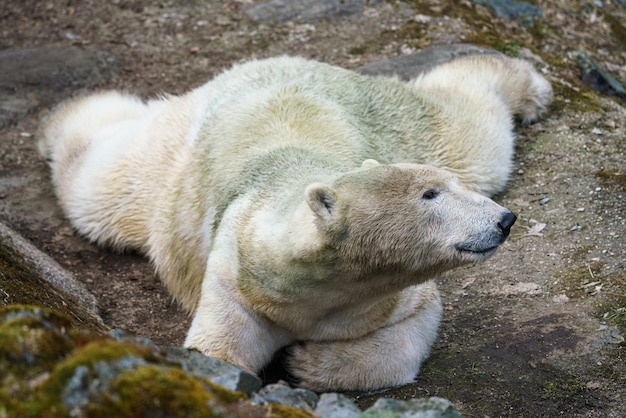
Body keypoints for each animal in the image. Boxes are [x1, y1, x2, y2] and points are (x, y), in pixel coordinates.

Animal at [37, 53, 552, 392]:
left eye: (444, 188)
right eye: (431, 194)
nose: (503, 220)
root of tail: (271, 59)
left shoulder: (391, 299)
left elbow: (409, 334)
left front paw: (304, 359)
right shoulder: (237, 277)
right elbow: (219, 349)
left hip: (393, 123)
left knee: (470, 136)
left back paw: (528, 86)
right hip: (168, 169)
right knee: (100, 187)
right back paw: (62, 119)